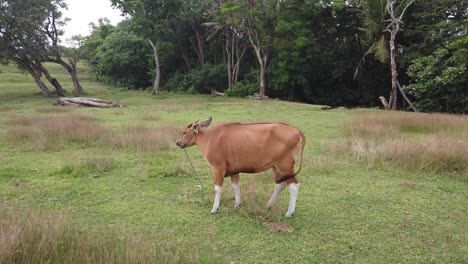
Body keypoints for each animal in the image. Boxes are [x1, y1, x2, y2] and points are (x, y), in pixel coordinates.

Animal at [177, 118, 306, 219]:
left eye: (184, 132)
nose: (178, 143)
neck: (210, 139)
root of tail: (295, 129)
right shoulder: (234, 171)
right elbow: (236, 187)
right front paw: (237, 205)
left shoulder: (218, 168)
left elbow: (218, 189)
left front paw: (214, 209)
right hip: (276, 167)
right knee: (280, 185)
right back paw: (269, 205)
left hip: (285, 166)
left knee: (294, 186)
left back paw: (289, 213)